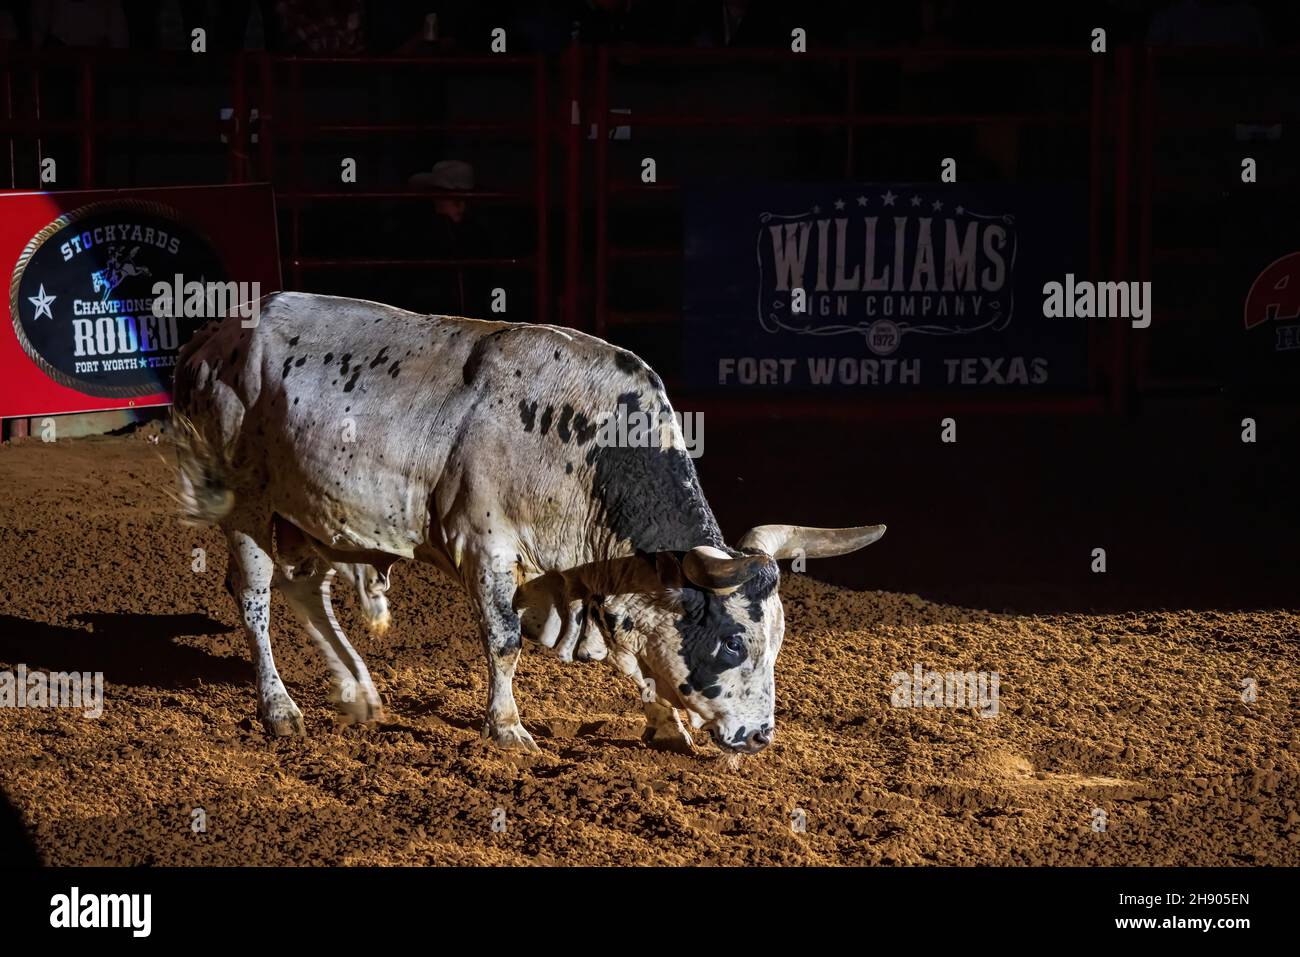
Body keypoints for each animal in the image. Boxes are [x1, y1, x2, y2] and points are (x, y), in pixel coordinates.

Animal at [171, 292, 885, 754]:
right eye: (735, 643)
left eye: (779, 643)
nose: (760, 737)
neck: (583, 443)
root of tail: (210, 339)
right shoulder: (485, 547)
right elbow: (506, 641)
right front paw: (508, 727)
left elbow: (631, 653)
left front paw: (666, 723)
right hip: (247, 506)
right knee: (256, 599)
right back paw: (278, 707)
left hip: (316, 513)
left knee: (306, 590)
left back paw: (359, 693)